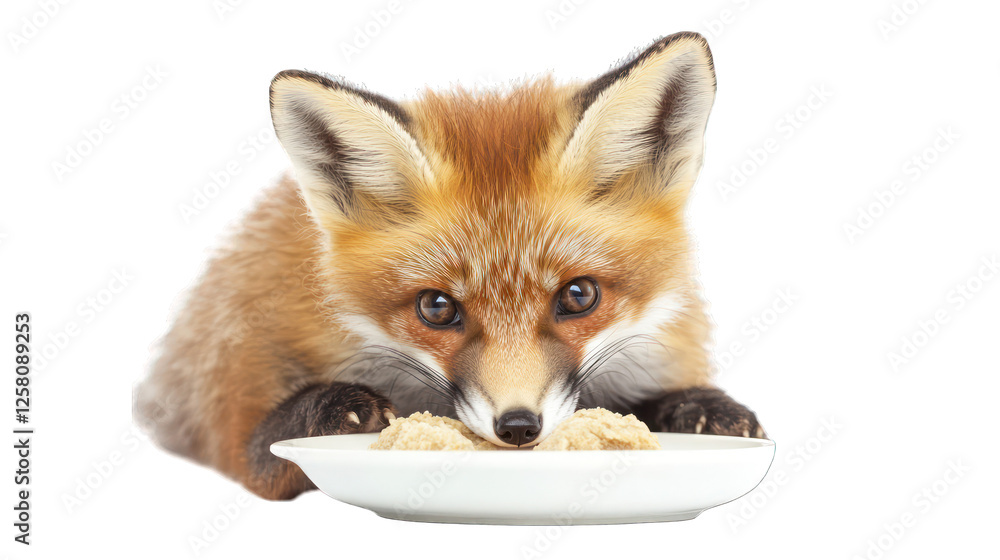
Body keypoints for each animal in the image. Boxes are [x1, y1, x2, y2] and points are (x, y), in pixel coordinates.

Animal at [134, 31, 764, 500]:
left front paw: (699, 408)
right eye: (436, 307)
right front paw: (332, 408)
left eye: (579, 296)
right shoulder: (236, 400)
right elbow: (263, 447)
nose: (518, 427)